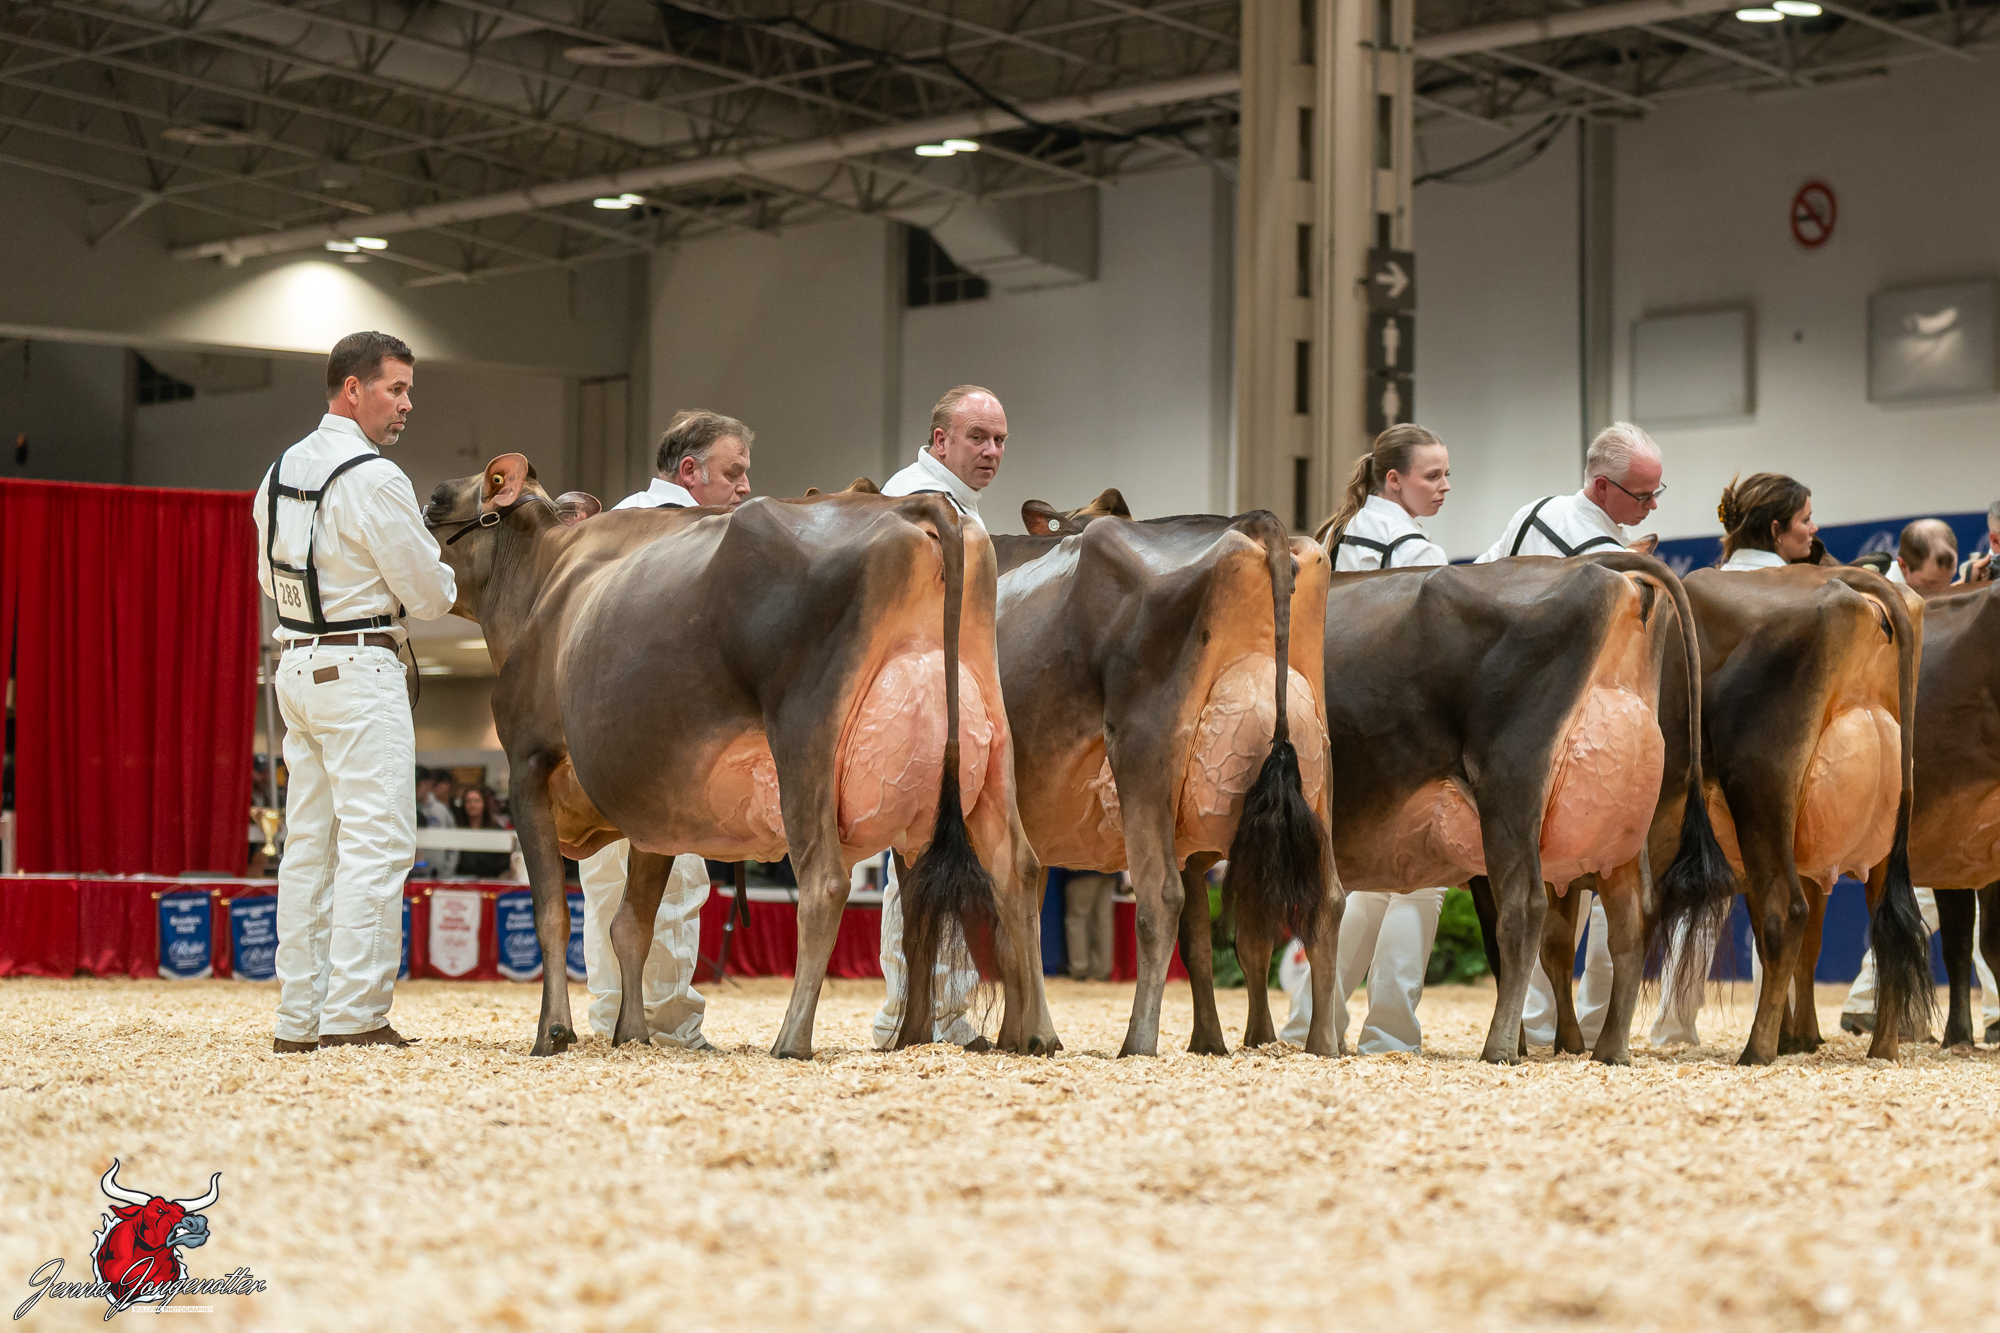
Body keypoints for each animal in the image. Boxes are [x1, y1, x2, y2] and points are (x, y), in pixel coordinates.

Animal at [421, 454, 1056, 1059]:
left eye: (436, 500)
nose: (420, 519)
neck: (543, 585)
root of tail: (918, 506)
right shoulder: (656, 808)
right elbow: (632, 925)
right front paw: (632, 1033)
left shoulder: (526, 763)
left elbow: (554, 913)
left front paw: (553, 1031)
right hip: (991, 737)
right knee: (1019, 870)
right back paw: (1039, 1034)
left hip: (805, 736)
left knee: (826, 881)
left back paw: (791, 1038)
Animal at [990, 493, 1338, 1057]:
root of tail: (1255, 523)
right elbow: (1198, 937)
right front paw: (1209, 1040)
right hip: (1318, 766)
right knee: (1323, 901)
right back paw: (1322, 1042)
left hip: (1143, 751)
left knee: (1158, 900)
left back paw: (1137, 1042)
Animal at [1544, 565, 1932, 1064]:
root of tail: (1845, 579)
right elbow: (1558, 943)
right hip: (1876, 824)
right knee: (1886, 926)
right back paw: (1880, 1046)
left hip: (1761, 790)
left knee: (1787, 915)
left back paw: (1757, 1049)